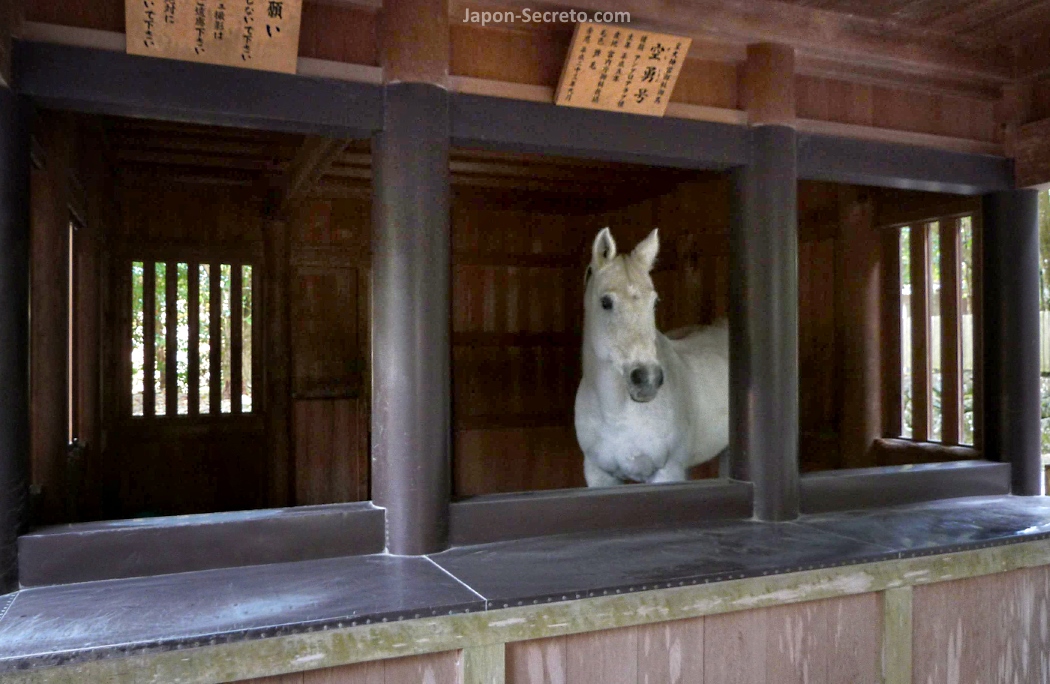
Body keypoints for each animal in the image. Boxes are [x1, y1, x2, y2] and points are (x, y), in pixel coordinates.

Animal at [574, 227, 729, 486]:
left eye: (654, 302)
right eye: (605, 302)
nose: (647, 379)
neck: (617, 414)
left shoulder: (668, 473)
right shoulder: (598, 475)